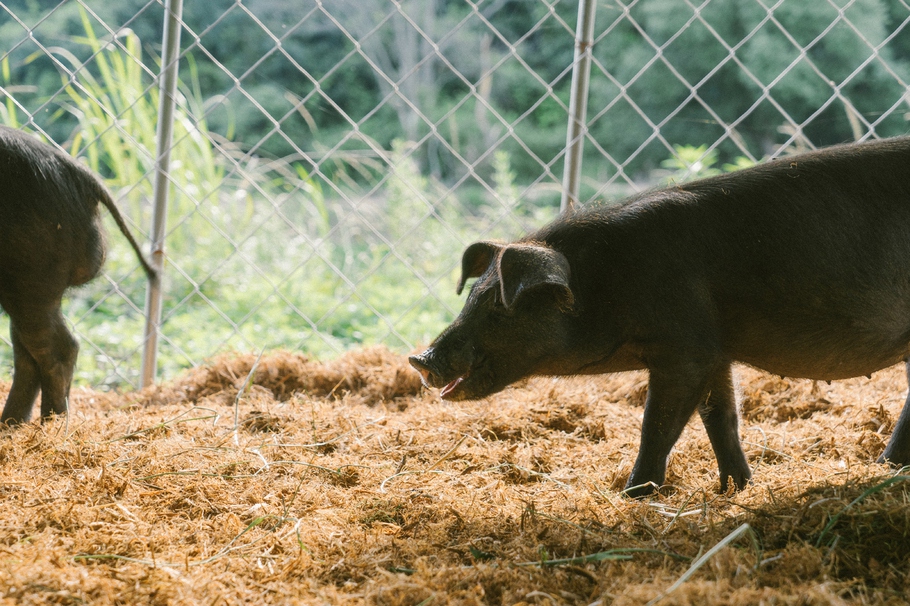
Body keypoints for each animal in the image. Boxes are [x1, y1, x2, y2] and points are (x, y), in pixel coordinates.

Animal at [0, 126, 154, 426]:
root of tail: (78, 173)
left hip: (30, 275)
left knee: (58, 348)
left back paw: (51, 425)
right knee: (29, 352)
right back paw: (13, 425)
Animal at [416, 138, 910, 498]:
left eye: (499, 306)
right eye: (471, 296)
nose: (420, 359)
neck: (610, 283)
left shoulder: (684, 349)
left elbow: (658, 426)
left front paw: (631, 496)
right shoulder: (715, 351)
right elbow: (721, 418)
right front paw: (738, 488)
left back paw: (885, 468)